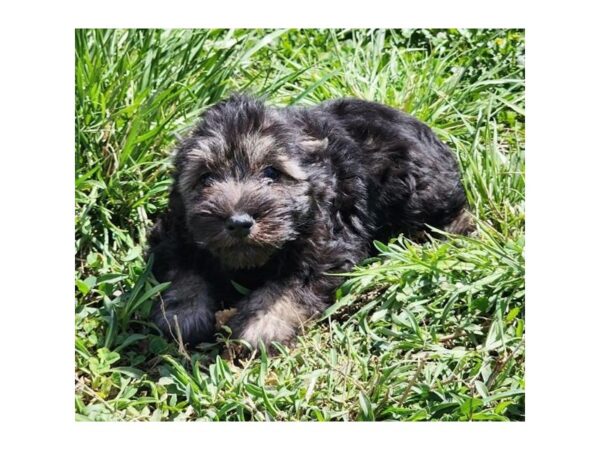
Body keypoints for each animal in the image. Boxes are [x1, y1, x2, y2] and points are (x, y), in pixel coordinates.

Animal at [148, 94, 472, 348]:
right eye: (206, 178)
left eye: (271, 172)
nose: (239, 222)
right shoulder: (176, 232)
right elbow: (184, 269)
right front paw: (184, 313)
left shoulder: (329, 244)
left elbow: (291, 286)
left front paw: (261, 324)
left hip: (416, 190)